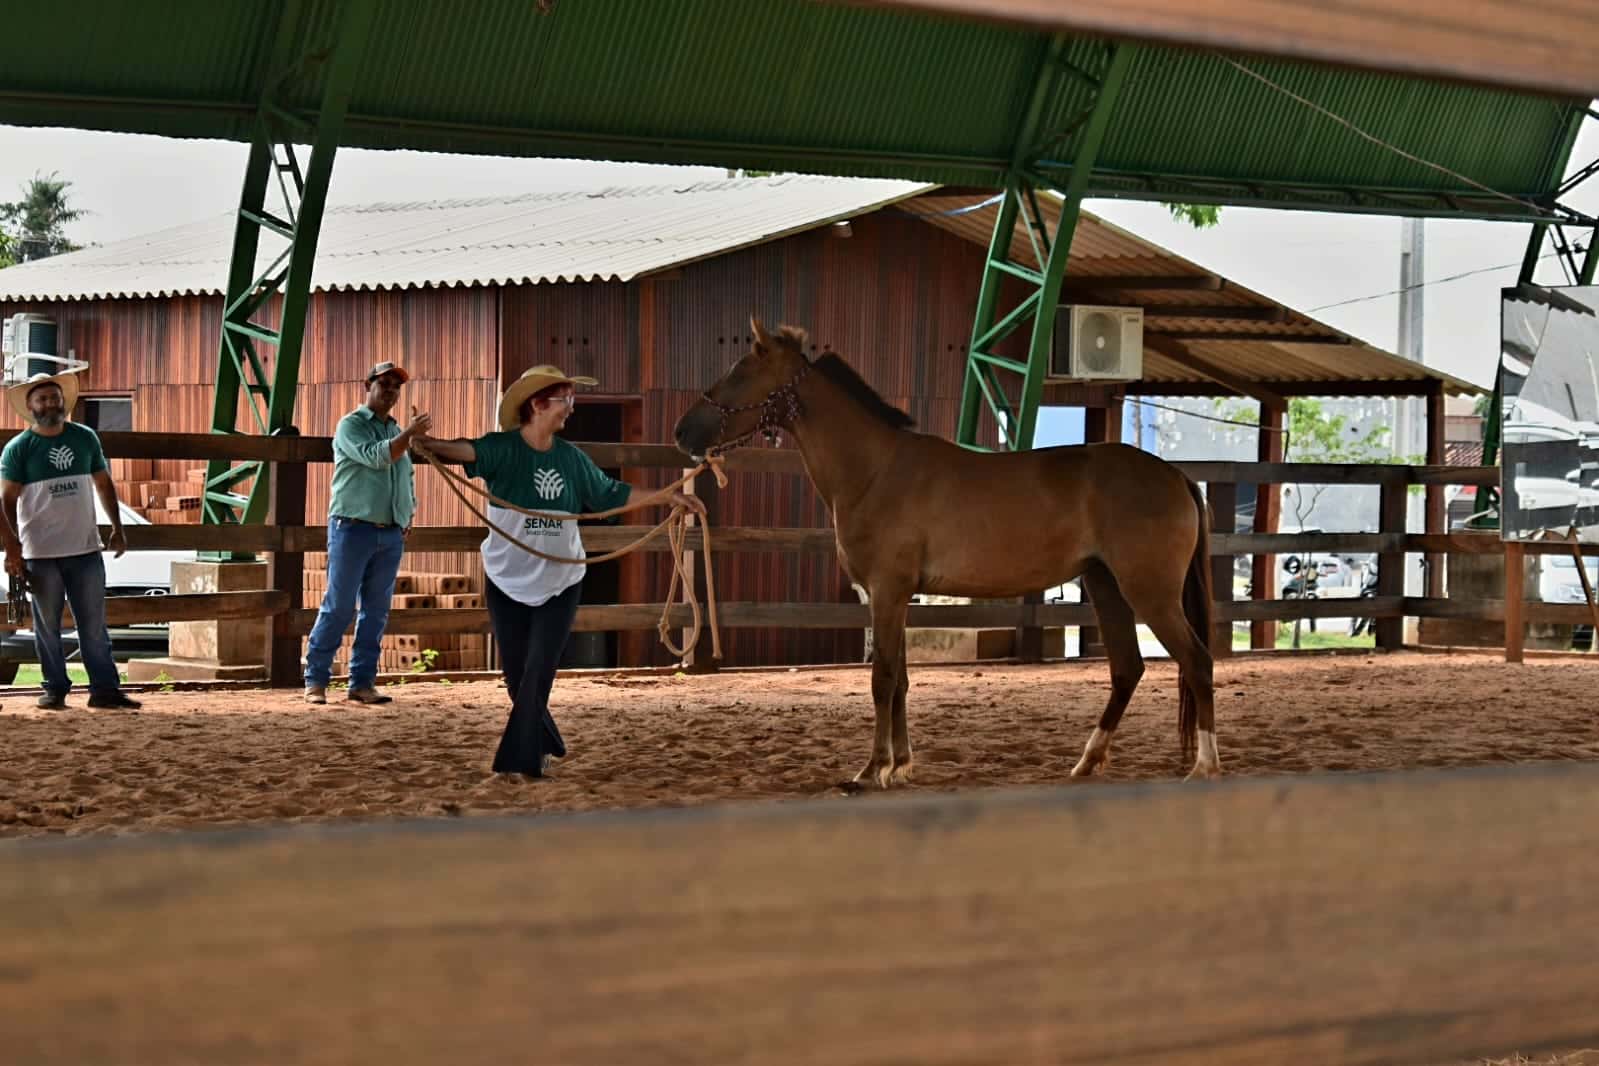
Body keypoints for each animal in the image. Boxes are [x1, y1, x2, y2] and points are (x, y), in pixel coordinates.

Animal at [668, 316, 1215, 783]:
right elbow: (902, 680)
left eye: (740, 371)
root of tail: (1175, 475)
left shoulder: (888, 591)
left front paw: (870, 770)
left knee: (1197, 661)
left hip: (1150, 593)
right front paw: (900, 765)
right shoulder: (896, 597)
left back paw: (1204, 766)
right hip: (1106, 585)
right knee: (1127, 668)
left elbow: (883, 678)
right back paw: (1086, 762)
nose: (682, 431)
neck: (874, 469)